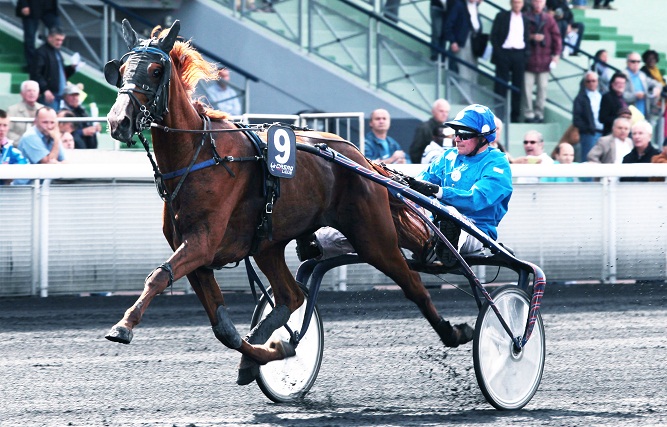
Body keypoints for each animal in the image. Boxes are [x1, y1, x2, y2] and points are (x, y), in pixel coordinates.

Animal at [104, 19, 472, 388]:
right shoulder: (197, 256)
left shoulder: (202, 243)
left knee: (413, 284)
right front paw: (269, 352)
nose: (118, 121)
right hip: (268, 245)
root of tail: (357, 155)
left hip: (373, 237)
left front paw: (123, 325)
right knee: (292, 296)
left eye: (155, 71)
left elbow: (158, 276)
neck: (201, 157)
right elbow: (223, 328)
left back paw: (455, 331)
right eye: (120, 70)